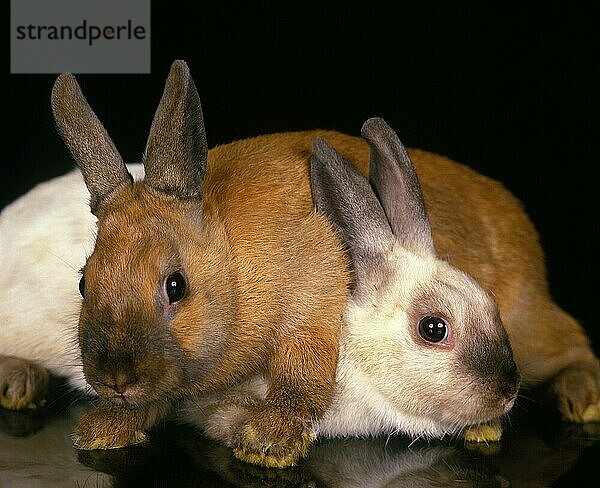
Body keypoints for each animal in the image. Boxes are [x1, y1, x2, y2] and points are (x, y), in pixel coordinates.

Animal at [52, 61, 352, 468]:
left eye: (175, 285)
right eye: (83, 284)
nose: (117, 380)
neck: (233, 267)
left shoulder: (312, 307)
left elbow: (300, 375)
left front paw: (267, 443)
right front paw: (104, 429)